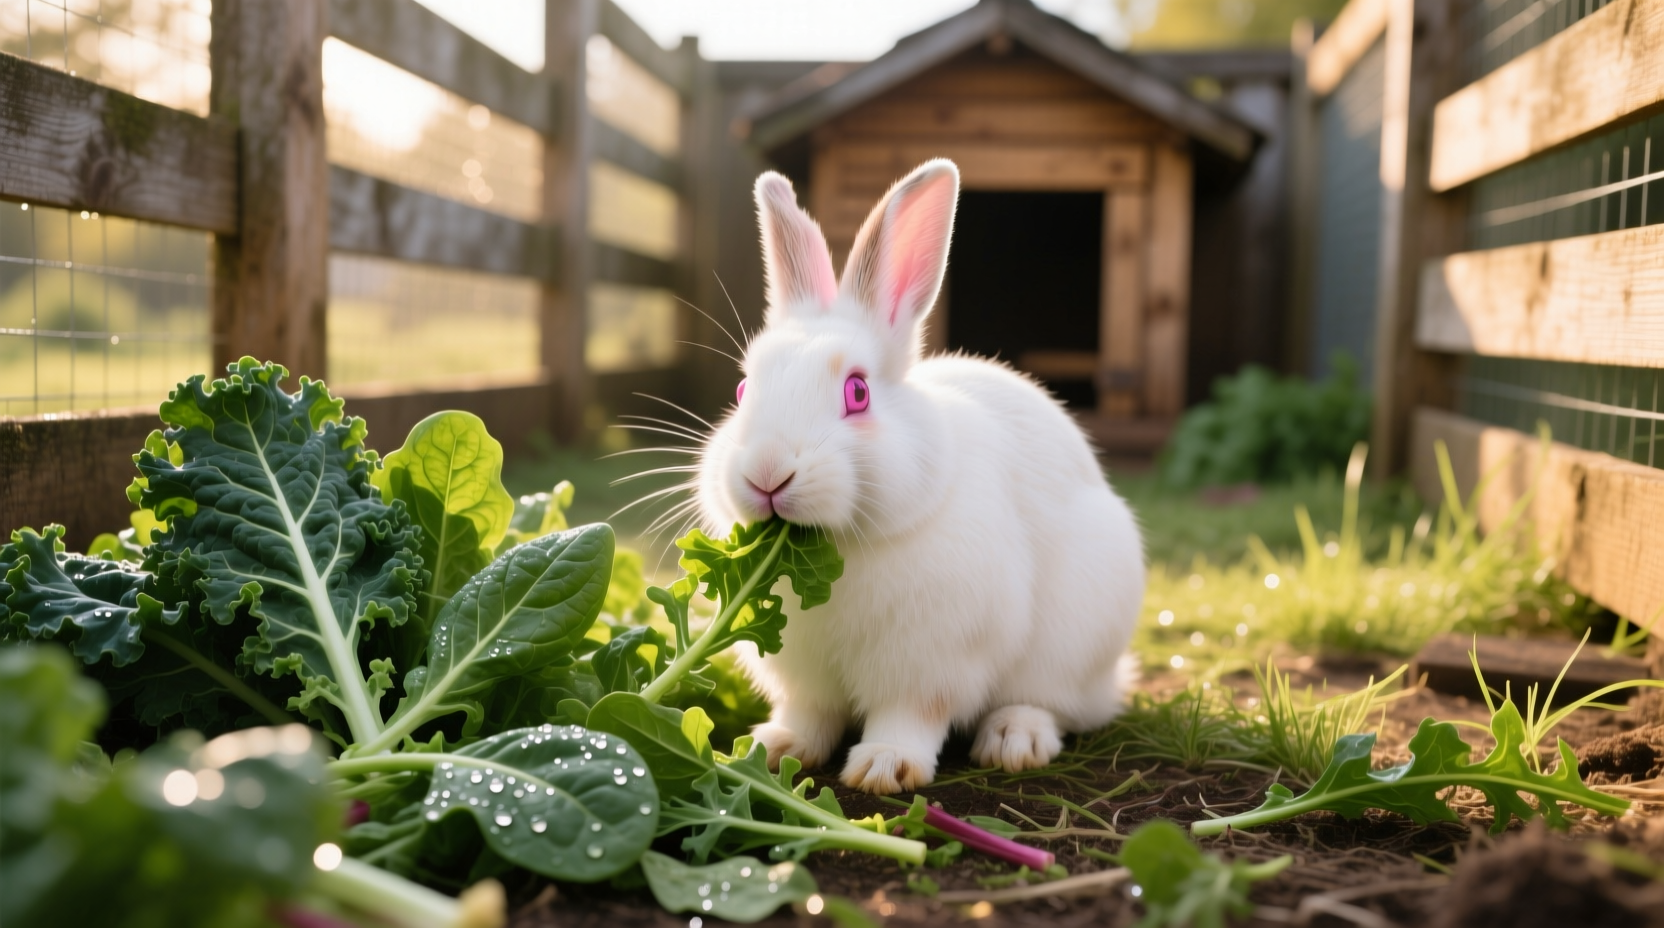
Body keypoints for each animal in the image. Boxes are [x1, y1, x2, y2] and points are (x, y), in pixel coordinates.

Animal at [694, 158, 1145, 795]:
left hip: (1073, 645)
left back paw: (1014, 739)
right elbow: (809, 715)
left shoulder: (931, 664)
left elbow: (910, 716)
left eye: (857, 392)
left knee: (1050, 702)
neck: (843, 553)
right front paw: (773, 748)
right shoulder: (804, 677)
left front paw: (884, 767)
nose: (768, 473)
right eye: (740, 391)